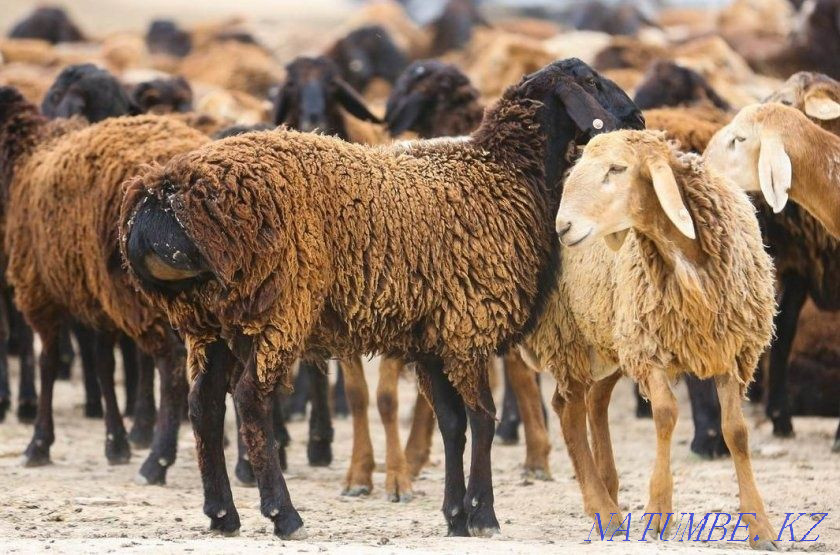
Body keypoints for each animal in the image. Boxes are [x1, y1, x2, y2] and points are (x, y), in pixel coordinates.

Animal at [0, 87, 208, 487]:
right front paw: (116, 443)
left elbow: (50, 361)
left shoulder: (40, 291)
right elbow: (102, 364)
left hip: (138, 292)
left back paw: (157, 461)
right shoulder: (97, 297)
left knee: (172, 365)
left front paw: (39, 443)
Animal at [119, 59, 645, 538]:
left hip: (213, 319)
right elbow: (483, 419)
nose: (637, 117)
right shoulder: (468, 323)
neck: (503, 175)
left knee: (203, 404)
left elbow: (452, 423)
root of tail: (164, 197)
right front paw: (483, 515)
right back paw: (284, 515)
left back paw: (222, 514)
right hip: (278, 309)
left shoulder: (434, 337)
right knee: (250, 400)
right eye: (592, 80)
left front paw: (455, 515)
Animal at [525, 130, 777, 549]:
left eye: (617, 168)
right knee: (569, 410)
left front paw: (760, 526)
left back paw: (608, 490)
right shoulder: (649, 347)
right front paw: (658, 512)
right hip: (570, 336)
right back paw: (605, 512)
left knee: (593, 401)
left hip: (610, 338)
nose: (564, 226)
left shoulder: (732, 351)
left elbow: (737, 432)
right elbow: (665, 415)